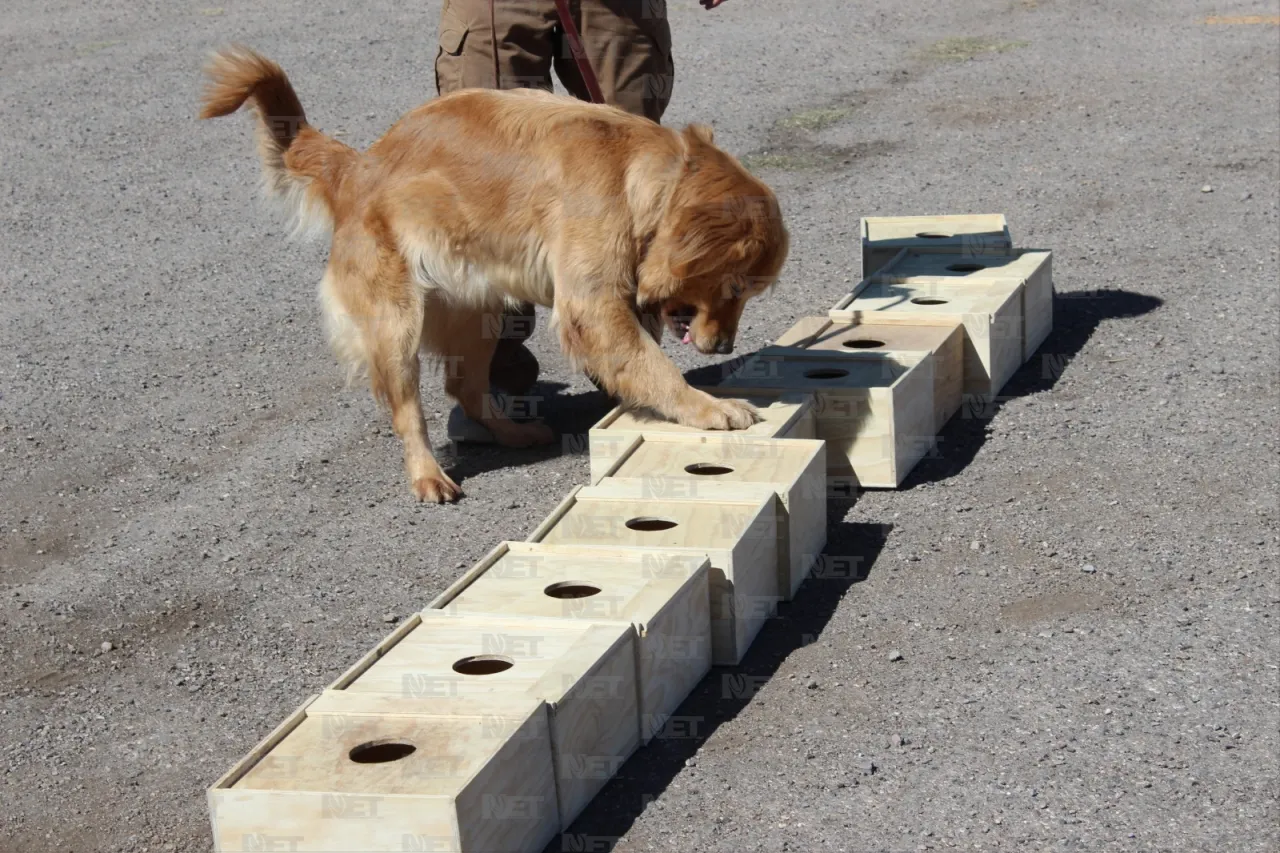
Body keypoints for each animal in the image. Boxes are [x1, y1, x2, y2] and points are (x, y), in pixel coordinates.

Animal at [199, 46, 783, 499]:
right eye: (735, 287)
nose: (725, 347)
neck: (641, 178)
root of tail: (359, 166)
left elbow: (638, 358)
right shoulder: (591, 304)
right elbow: (654, 365)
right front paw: (706, 407)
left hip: (477, 308)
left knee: (463, 382)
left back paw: (510, 431)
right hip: (397, 323)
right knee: (408, 409)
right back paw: (428, 475)